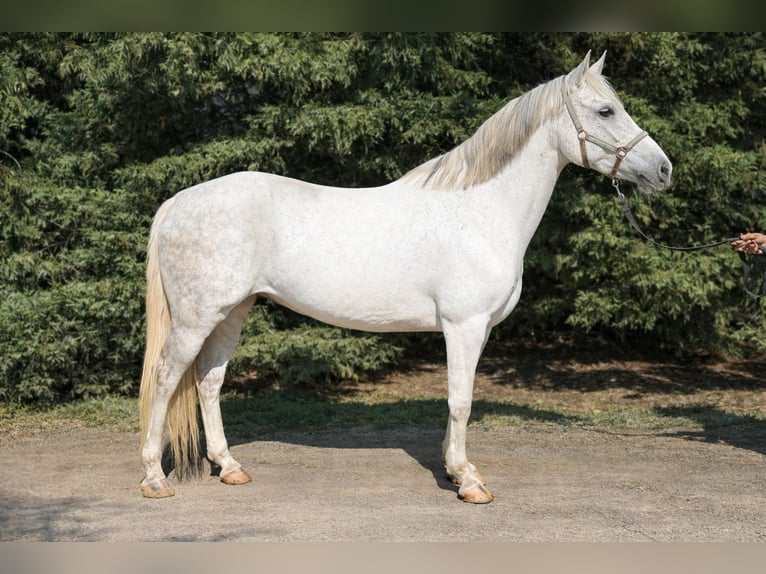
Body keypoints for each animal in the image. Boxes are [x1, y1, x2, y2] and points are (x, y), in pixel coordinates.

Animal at [139, 51, 672, 503]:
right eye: (606, 111)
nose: (664, 170)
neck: (481, 210)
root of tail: (178, 202)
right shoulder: (463, 326)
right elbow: (461, 401)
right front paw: (469, 483)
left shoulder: (477, 330)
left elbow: (460, 398)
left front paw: (455, 469)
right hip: (196, 318)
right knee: (166, 379)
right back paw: (154, 478)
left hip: (233, 310)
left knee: (209, 381)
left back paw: (229, 467)